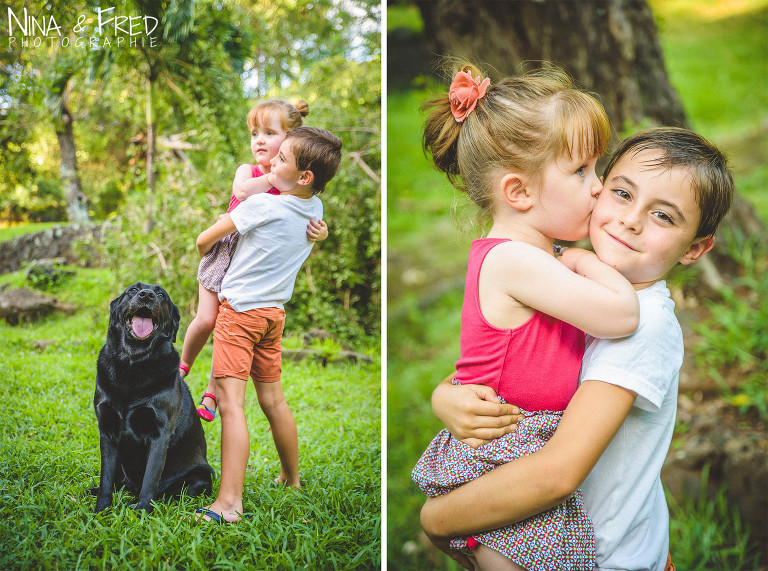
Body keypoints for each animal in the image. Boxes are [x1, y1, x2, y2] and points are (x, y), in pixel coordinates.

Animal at [94, 284, 213, 512]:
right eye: (133, 290)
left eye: (161, 295)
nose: (147, 295)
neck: (133, 362)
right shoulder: (107, 429)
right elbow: (106, 477)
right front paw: (101, 509)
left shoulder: (159, 434)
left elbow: (150, 480)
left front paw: (141, 511)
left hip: (202, 474)